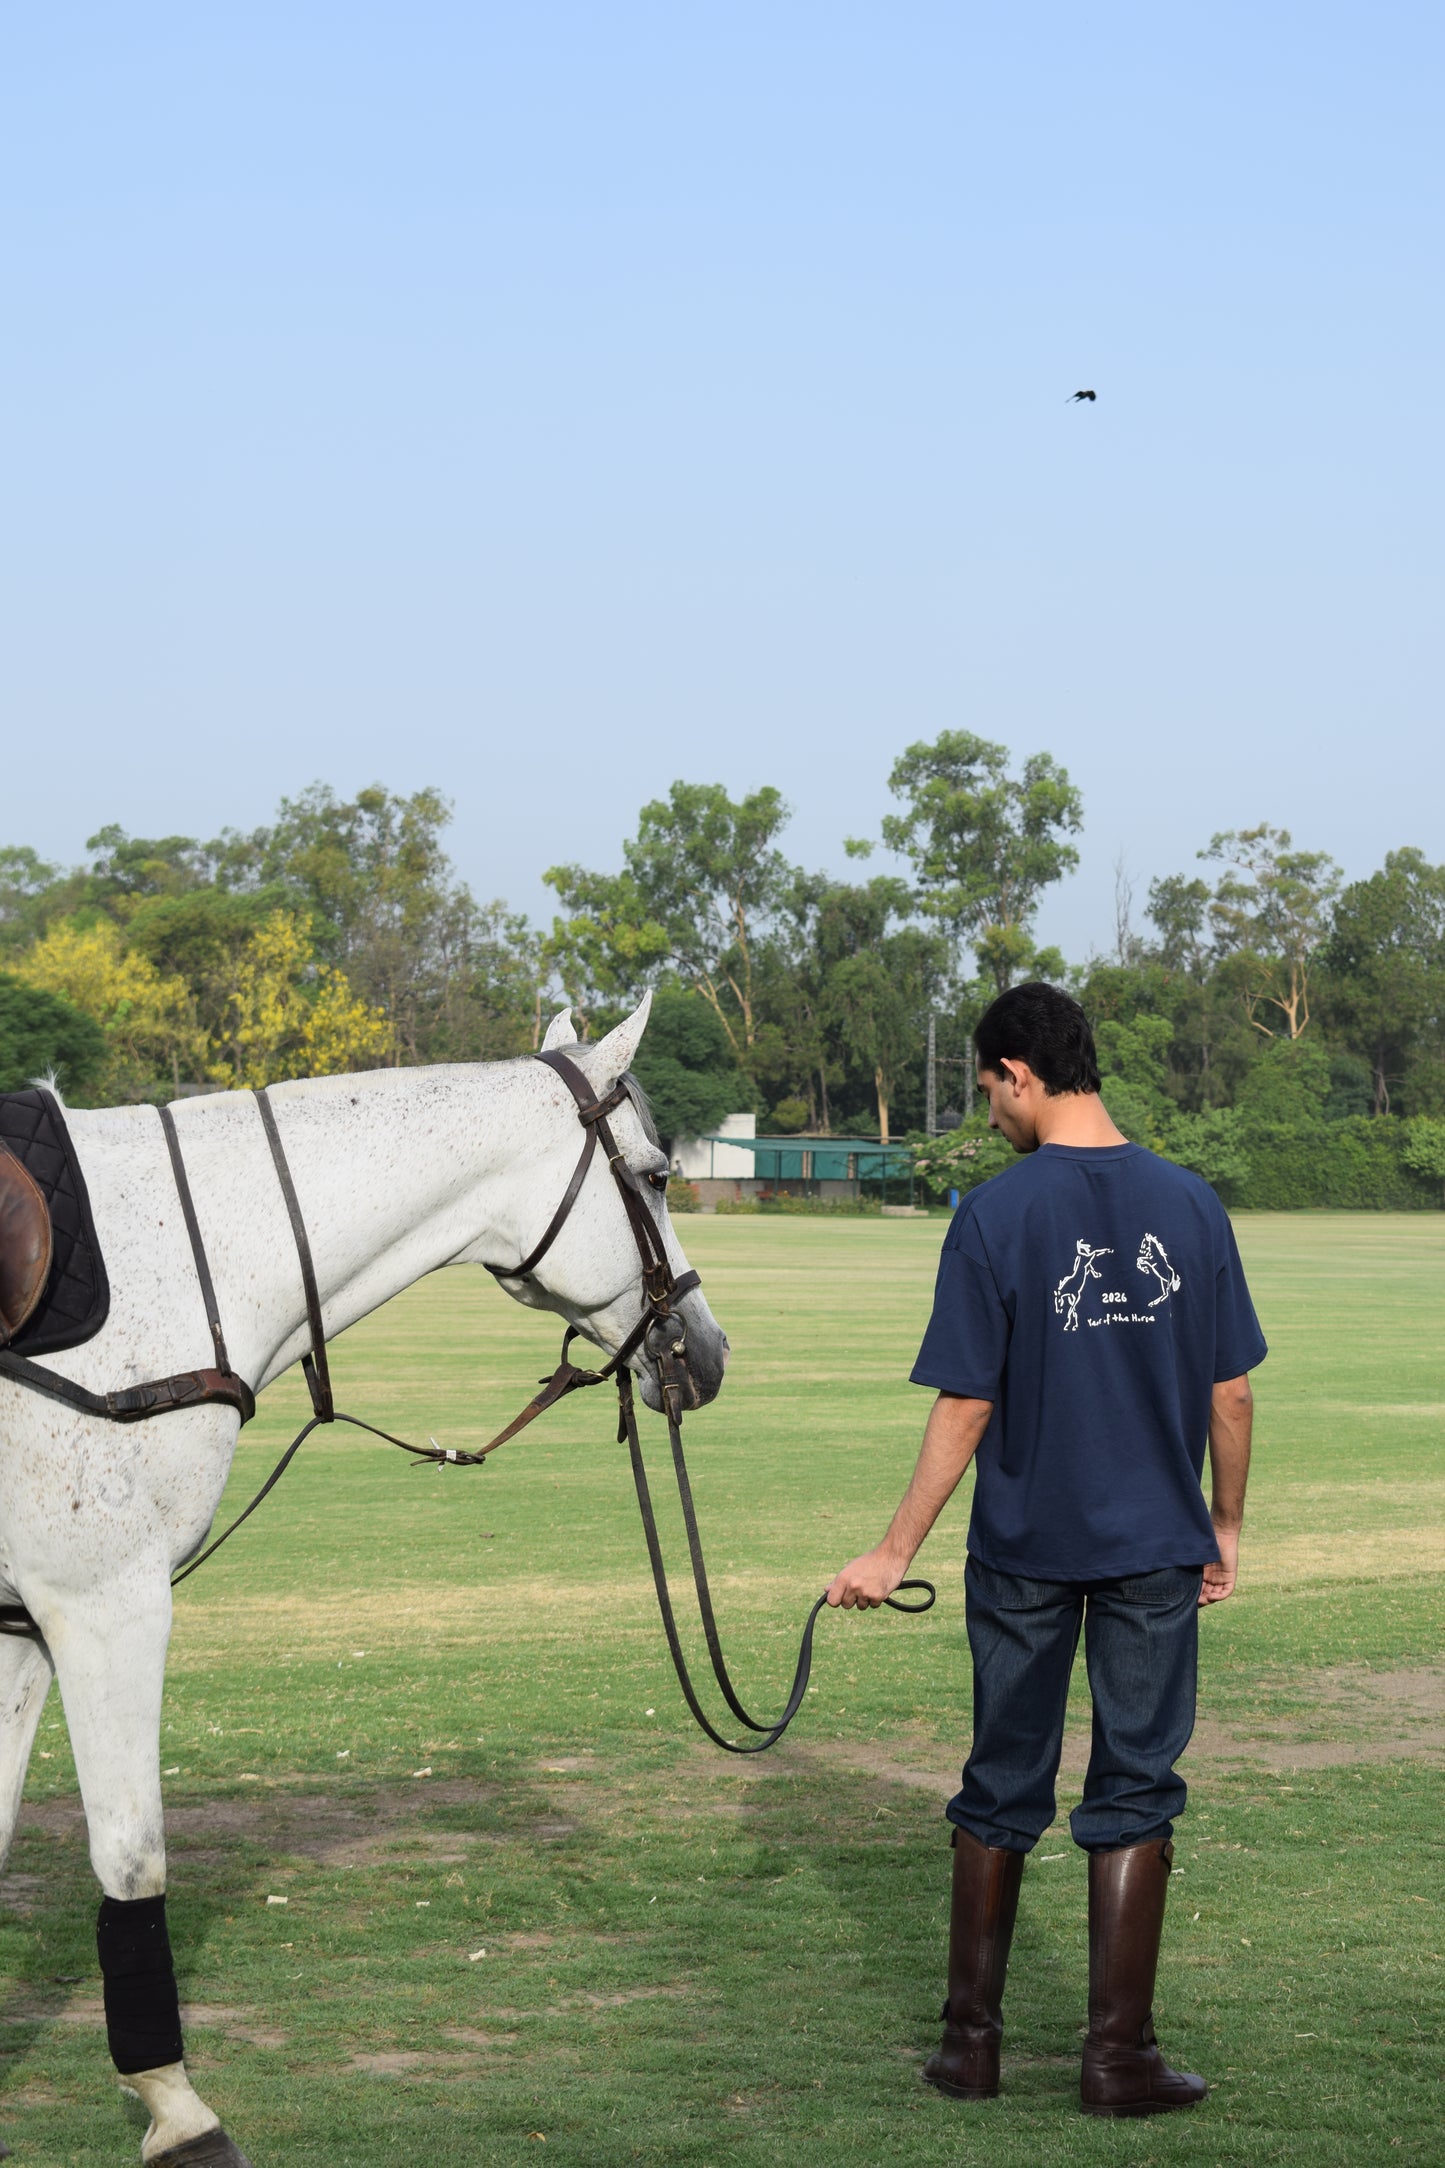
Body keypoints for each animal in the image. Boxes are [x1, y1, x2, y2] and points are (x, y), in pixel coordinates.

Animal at [0, 994, 727, 2165]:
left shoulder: (19, 1620)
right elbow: (132, 1854)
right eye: (658, 1174)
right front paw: (177, 2108)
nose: (704, 1352)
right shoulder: (104, 1599)